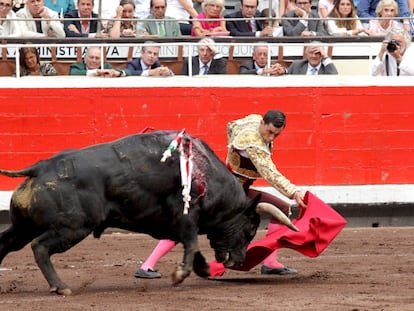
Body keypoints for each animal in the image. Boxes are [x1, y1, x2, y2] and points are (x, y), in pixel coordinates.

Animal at [0, 130, 294, 296]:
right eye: (250, 228)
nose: (238, 261)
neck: (206, 175)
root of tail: (40, 167)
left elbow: (192, 247)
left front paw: (202, 269)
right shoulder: (186, 217)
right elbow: (191, 242)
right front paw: (181, 274)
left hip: (24, 226)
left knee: (5, 243)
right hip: (73, 227)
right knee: (40, 247)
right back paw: (61, 287)